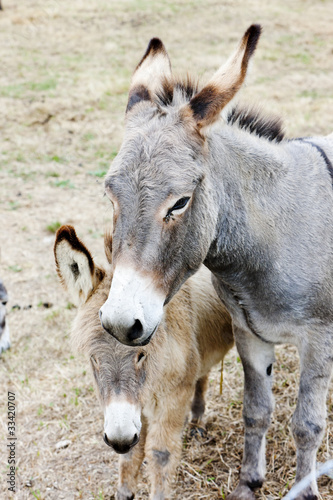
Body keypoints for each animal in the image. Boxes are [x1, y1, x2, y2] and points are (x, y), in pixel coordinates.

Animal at [54, 227, 232, 500]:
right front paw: (124, 491)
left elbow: (161, 454)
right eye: (93, 358)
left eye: (142, 354)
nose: (120, 440)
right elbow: (131, 453)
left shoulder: (173, 397)